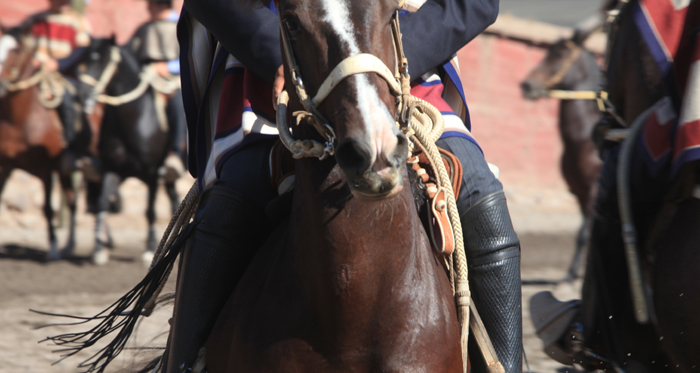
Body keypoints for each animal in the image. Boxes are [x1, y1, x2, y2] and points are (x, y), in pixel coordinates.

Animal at [0, 29, 79, 262]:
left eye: (16, 50)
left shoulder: (46, 169)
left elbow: (47, 208)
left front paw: (52, 250)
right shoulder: (5, 165)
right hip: (64, 171)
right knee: (72, 200)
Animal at [78, 37, 182, 264]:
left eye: (104, 61)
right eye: (86, 59)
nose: (83, 95)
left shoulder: (153, 173)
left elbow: (150, 211)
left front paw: (149, 249)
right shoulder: (112, 169)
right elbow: (102, 203)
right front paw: (98, 249)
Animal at [524, 24, 604, 280]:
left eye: (559, 55)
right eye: (547, 51)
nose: (527, 85)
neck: (584, 139)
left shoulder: (594, 190)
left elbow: (585, 233)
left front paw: (573, 276)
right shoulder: (579, 192)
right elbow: (583, 234)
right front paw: (573, 272)